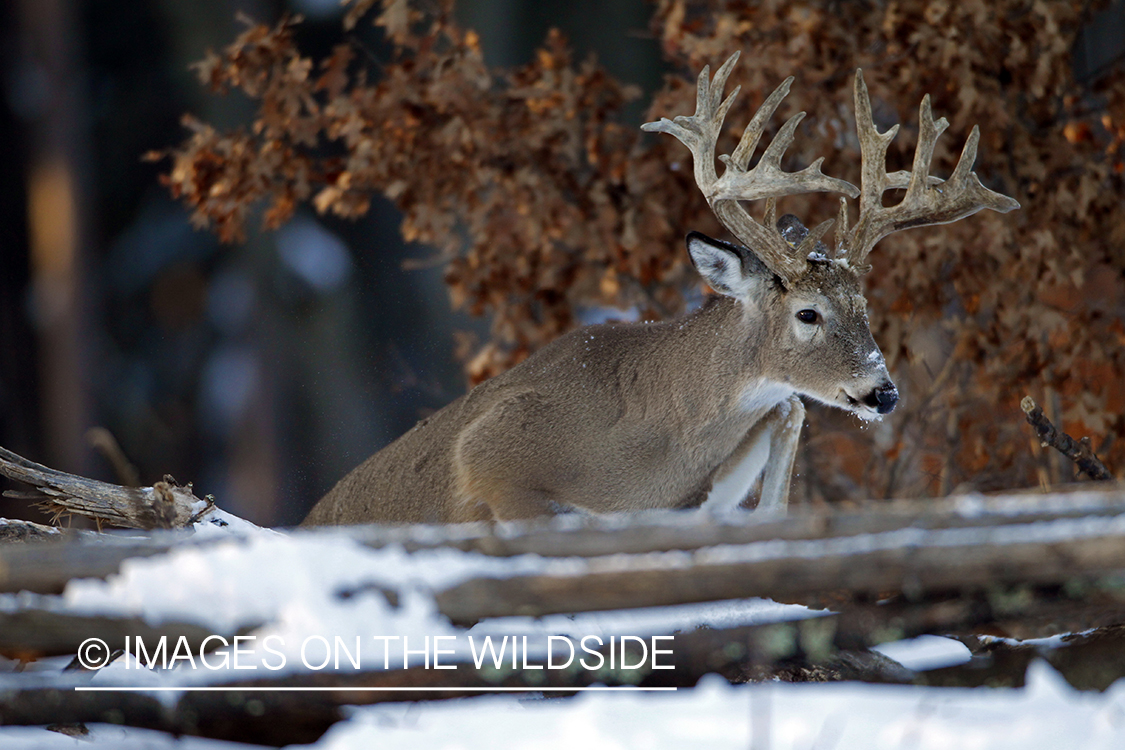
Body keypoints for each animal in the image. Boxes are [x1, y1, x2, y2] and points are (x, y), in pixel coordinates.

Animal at [303, 52, 1026, 528]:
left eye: (865, 307)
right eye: (807, 313)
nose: (882, 392)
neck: (646, 449)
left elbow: (787, 418)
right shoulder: (491, 460)